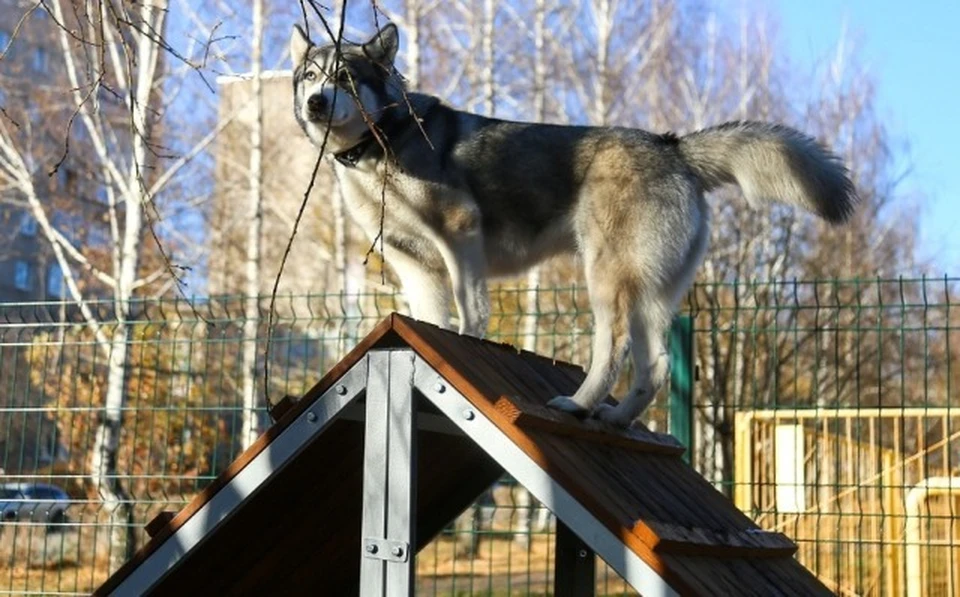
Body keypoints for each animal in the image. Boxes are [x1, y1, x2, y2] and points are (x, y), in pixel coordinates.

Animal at [288, 22, 860, 424]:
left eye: (346, 78)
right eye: (311, 77)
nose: (315, 102)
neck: (379, 145)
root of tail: (673, 146)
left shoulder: (460, 236)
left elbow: (470, 314)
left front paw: (467, 343)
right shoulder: (414, 265)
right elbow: (432, 320)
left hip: (607, 279)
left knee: (613, 351)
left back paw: (577, 404)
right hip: (652, 295)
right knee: (654, 368)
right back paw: (612, 417)